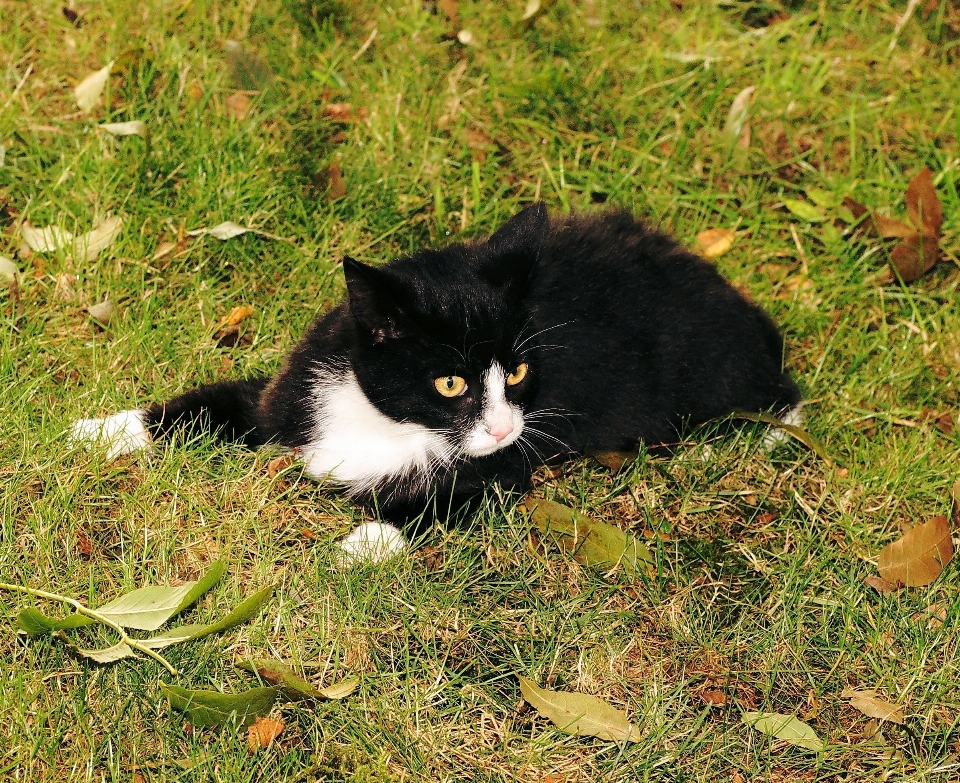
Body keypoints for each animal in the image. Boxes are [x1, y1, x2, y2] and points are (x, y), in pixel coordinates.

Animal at [71, 205, 800, 560]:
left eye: (519, 372)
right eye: (451, 383)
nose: (504, 426)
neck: (387, 421)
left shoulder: (501, 473)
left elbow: (433, 505)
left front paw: (356, 546)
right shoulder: (288, 394)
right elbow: (206, 404)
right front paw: (98, 431)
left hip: (716, 368)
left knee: (779, 392)